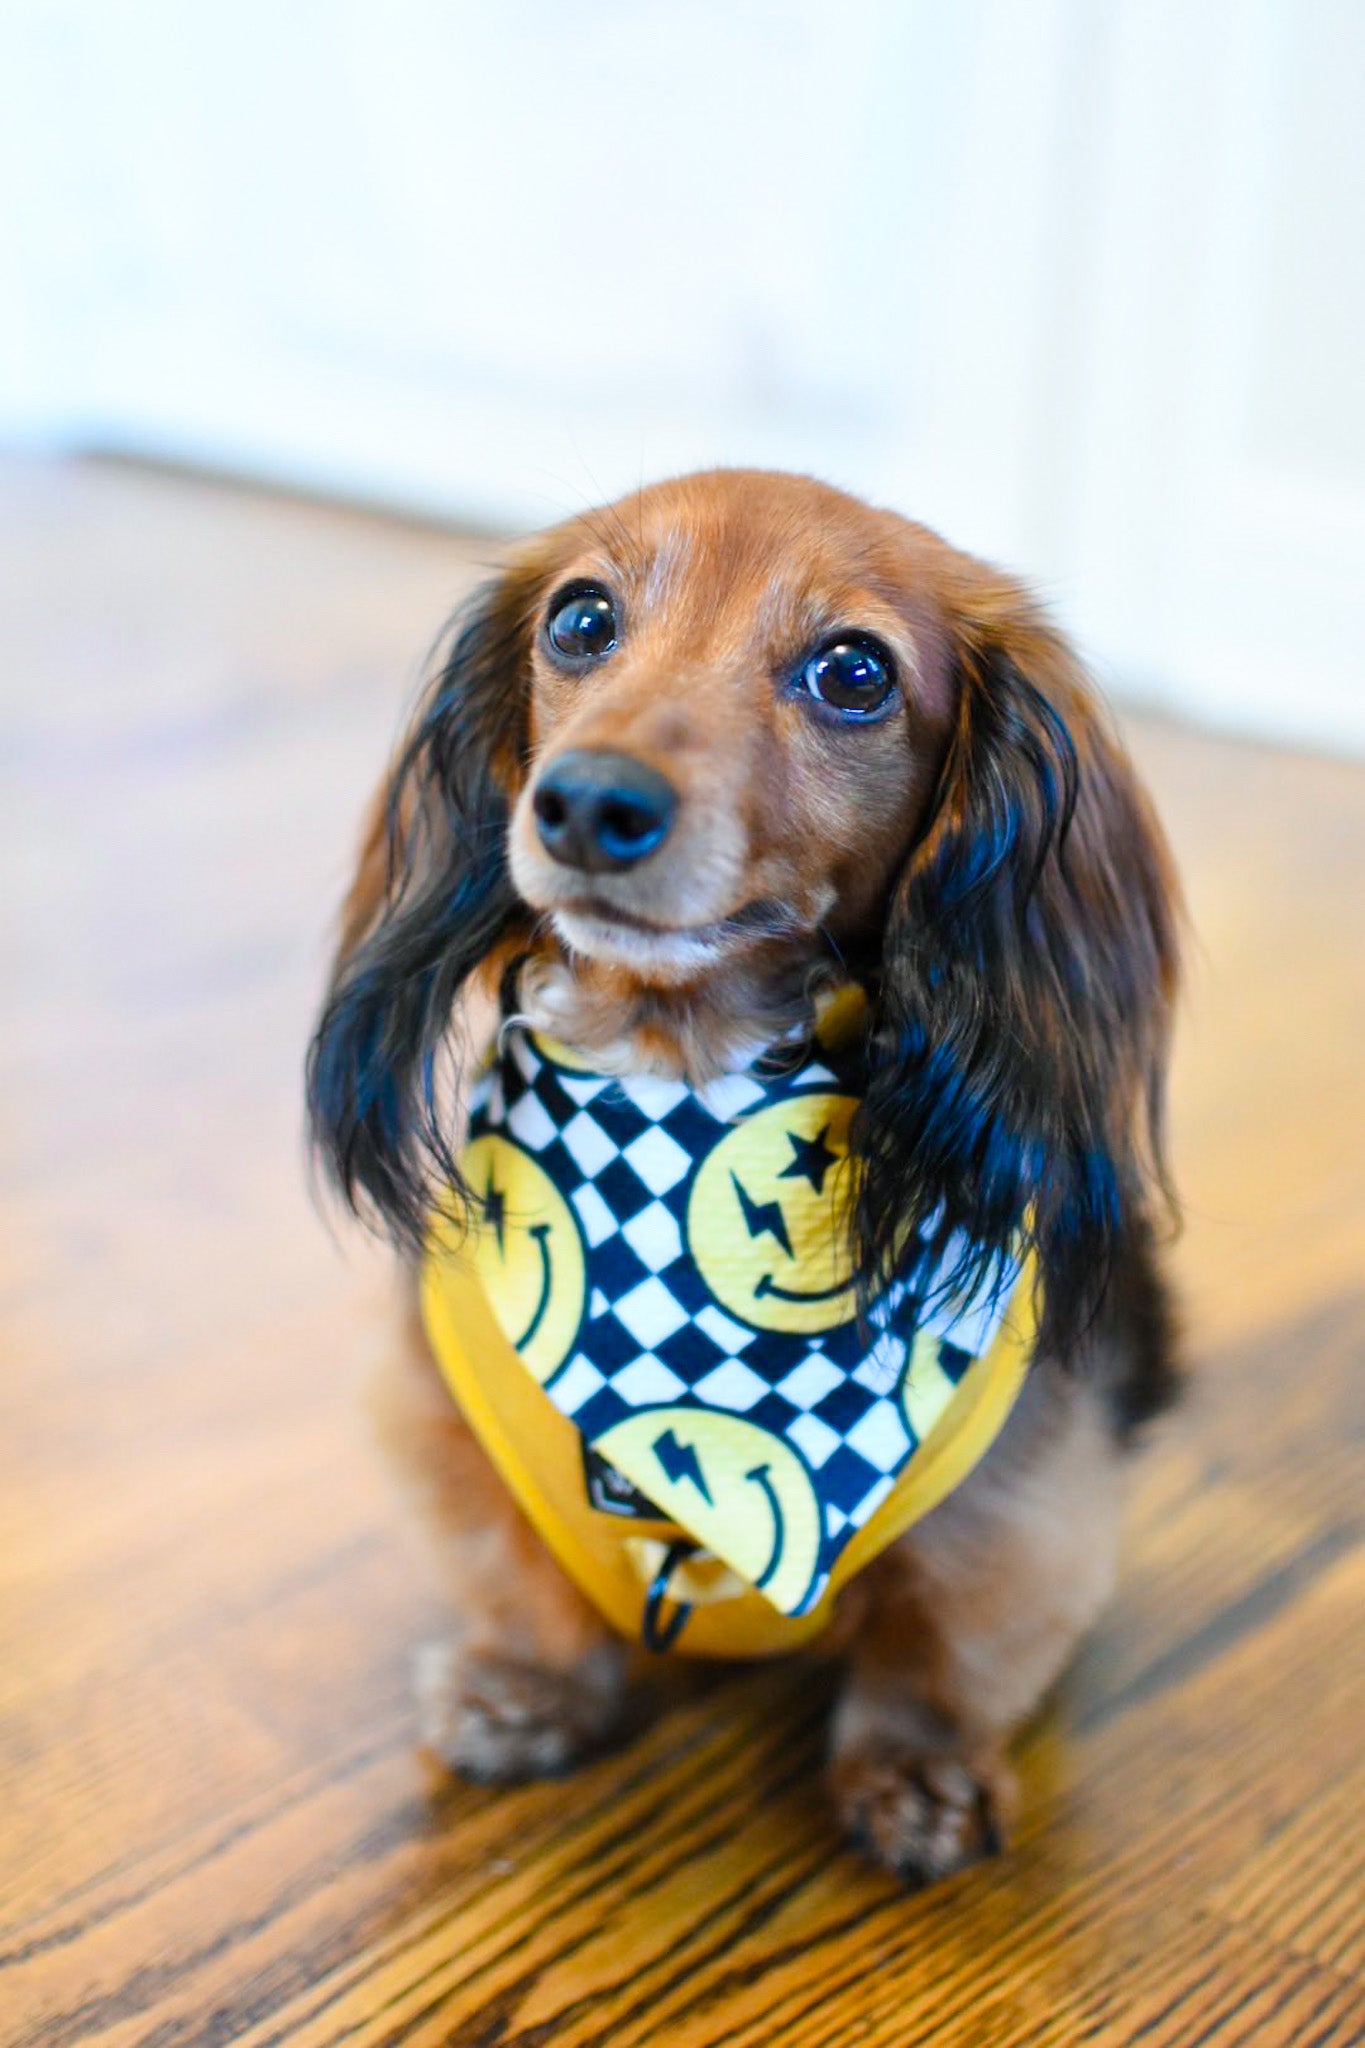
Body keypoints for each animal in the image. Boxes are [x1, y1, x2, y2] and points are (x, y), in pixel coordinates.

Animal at [304, 471, 1178, 1875]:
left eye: (854, 671)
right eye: (583, 618)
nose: (588, 803)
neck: (680, 1085)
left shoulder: (1024, 1505)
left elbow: (940, 1644)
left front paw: (918, 1771)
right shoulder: (439, 1412)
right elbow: (517, 1578)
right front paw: (525, 1691)